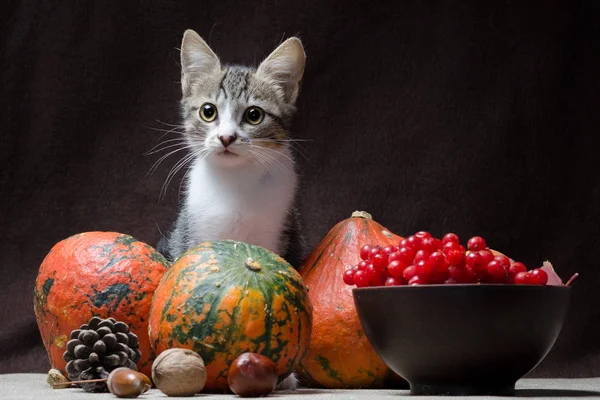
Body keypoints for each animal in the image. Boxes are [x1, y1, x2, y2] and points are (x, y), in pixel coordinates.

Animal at [157, 29, 308, 270]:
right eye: (208, 111)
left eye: (254, 115)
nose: (226, 137)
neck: (236, 179)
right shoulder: (195, 231)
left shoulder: (278, 231)